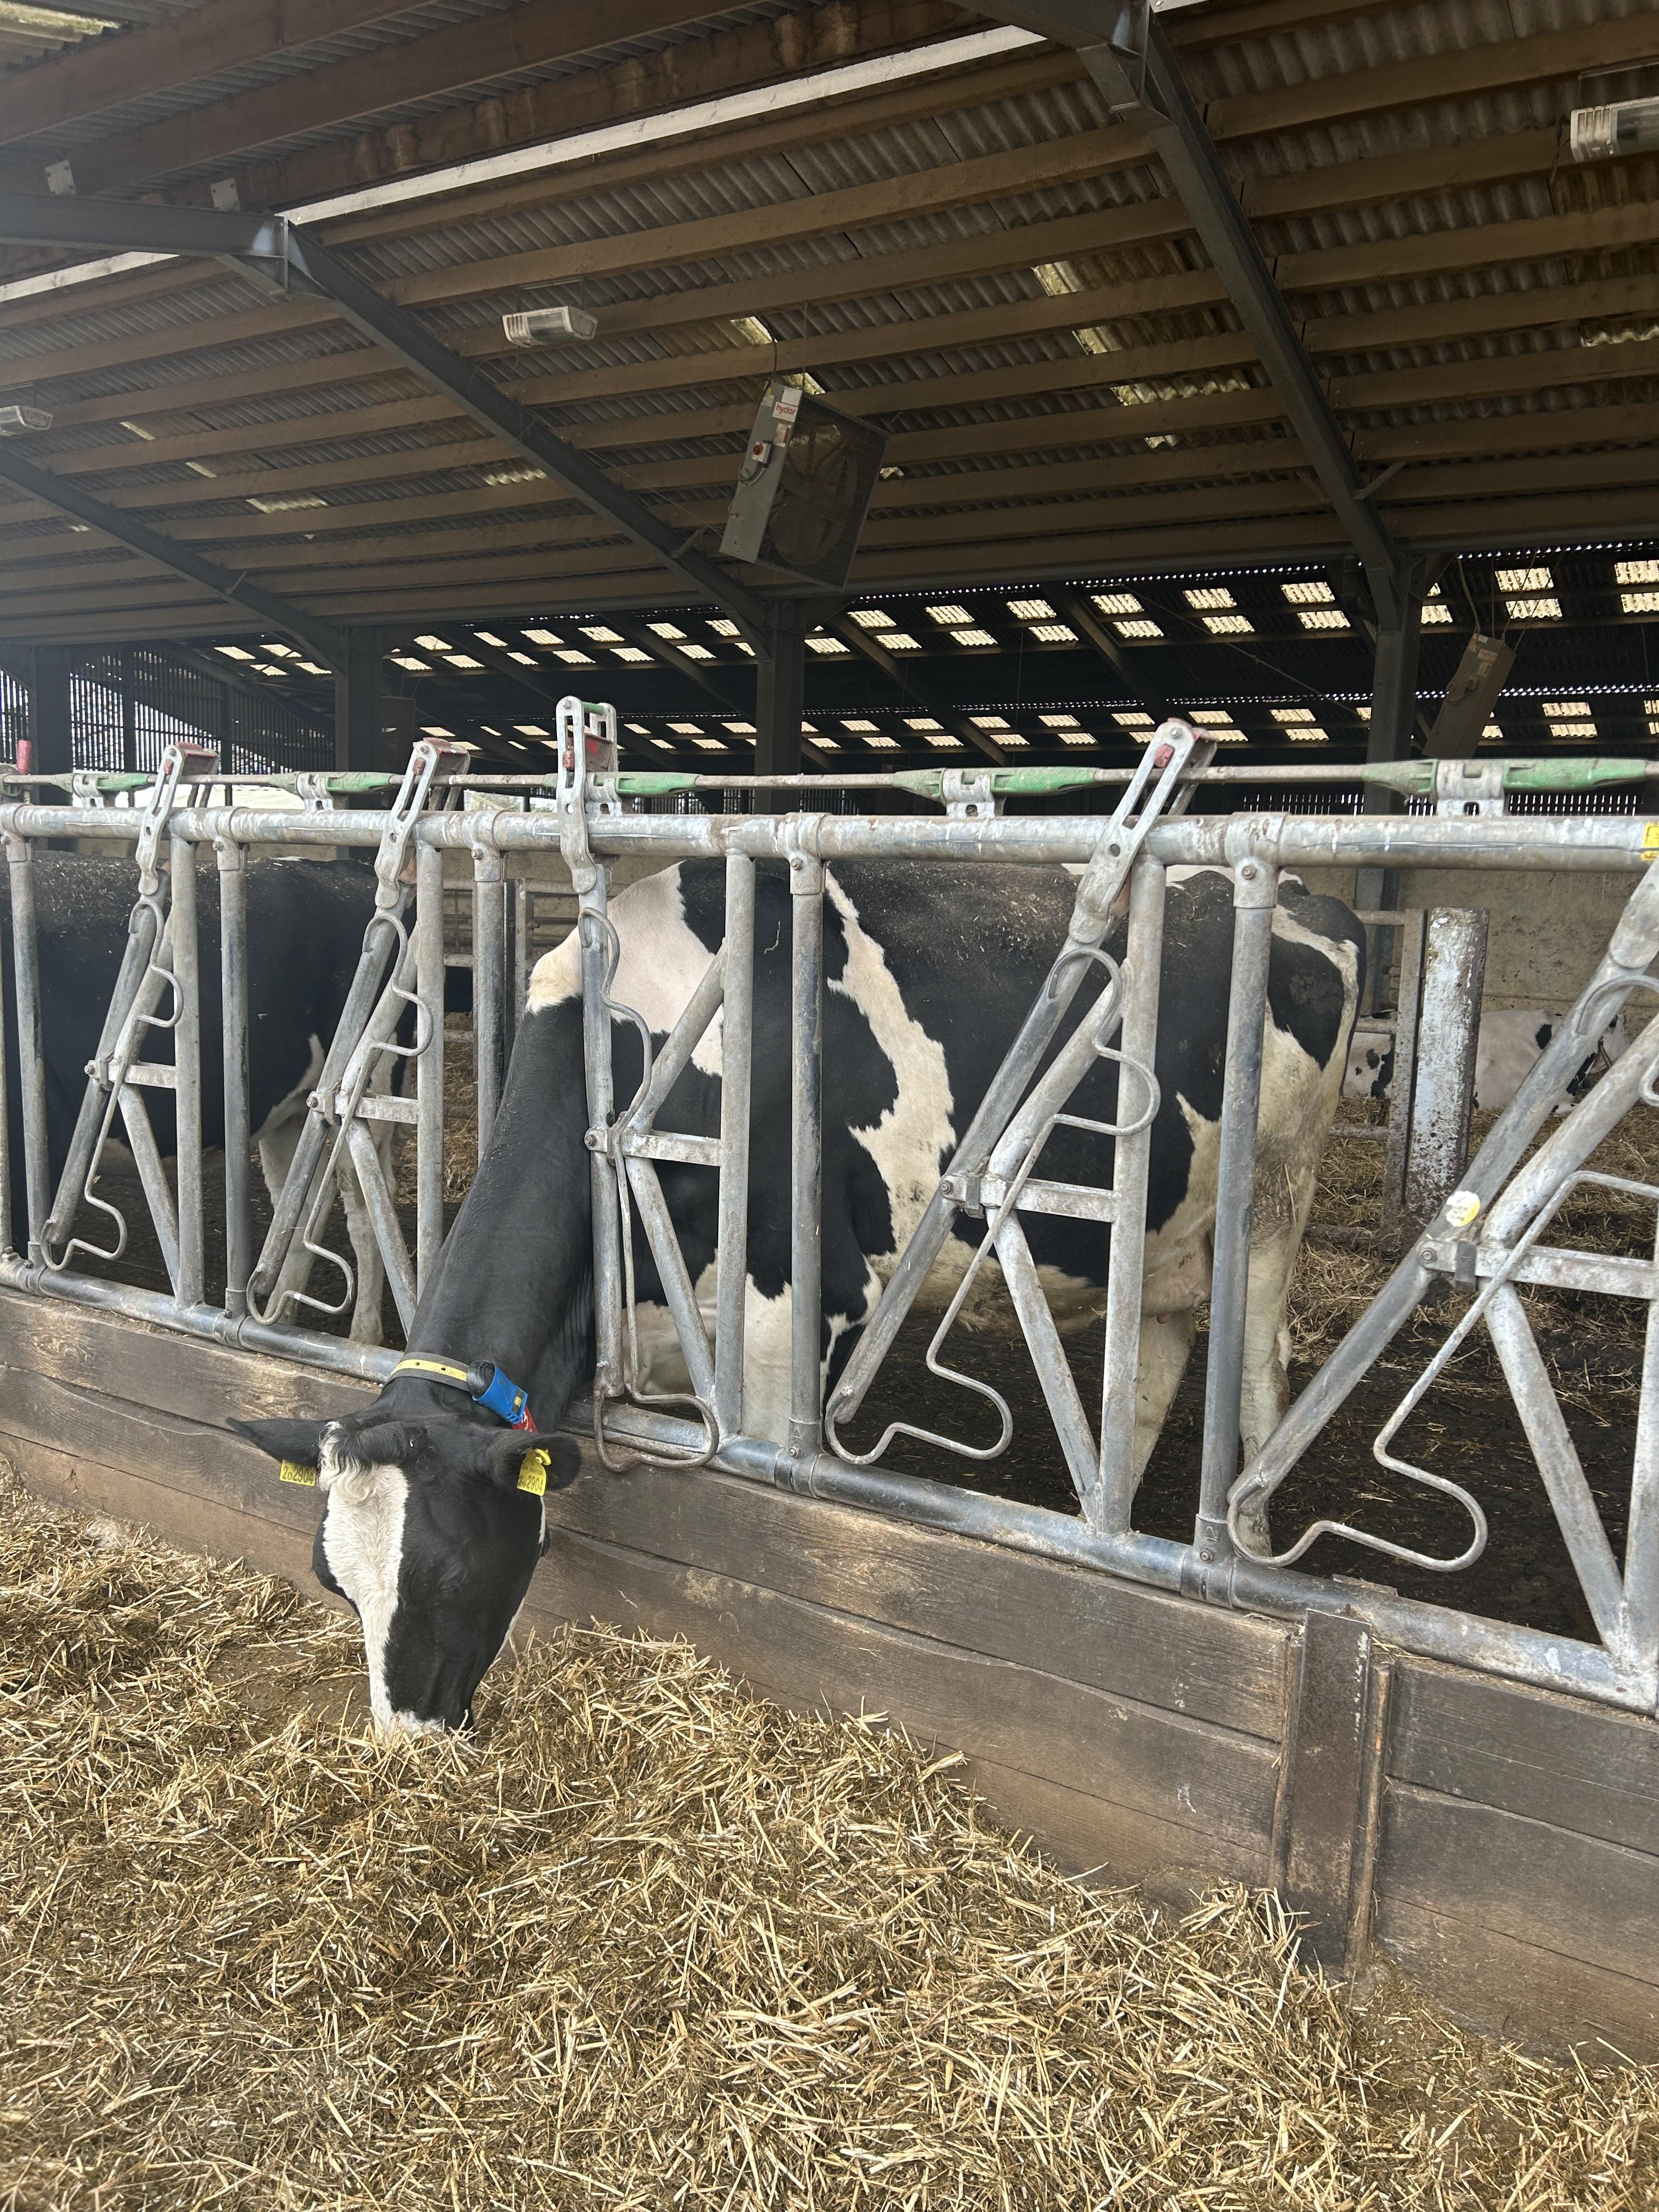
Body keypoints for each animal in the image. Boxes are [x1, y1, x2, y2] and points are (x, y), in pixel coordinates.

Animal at [2, 853, 420, 1341]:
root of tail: (345, 870)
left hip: (367, 1095)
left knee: (367, 1206)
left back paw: (361, 1336)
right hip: (295, 1113)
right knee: (297, 1212)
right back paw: (277, 1323)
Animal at [233, 859, 1366, 1731]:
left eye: (453, 1575)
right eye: (334, 1580)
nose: (407, 1739)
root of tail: (1302, 895)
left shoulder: (787, 1324)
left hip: (1273, 1200)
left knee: (1255, 1382)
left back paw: (1240, 1553)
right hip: (1162, 1239)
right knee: (1145, 1381)